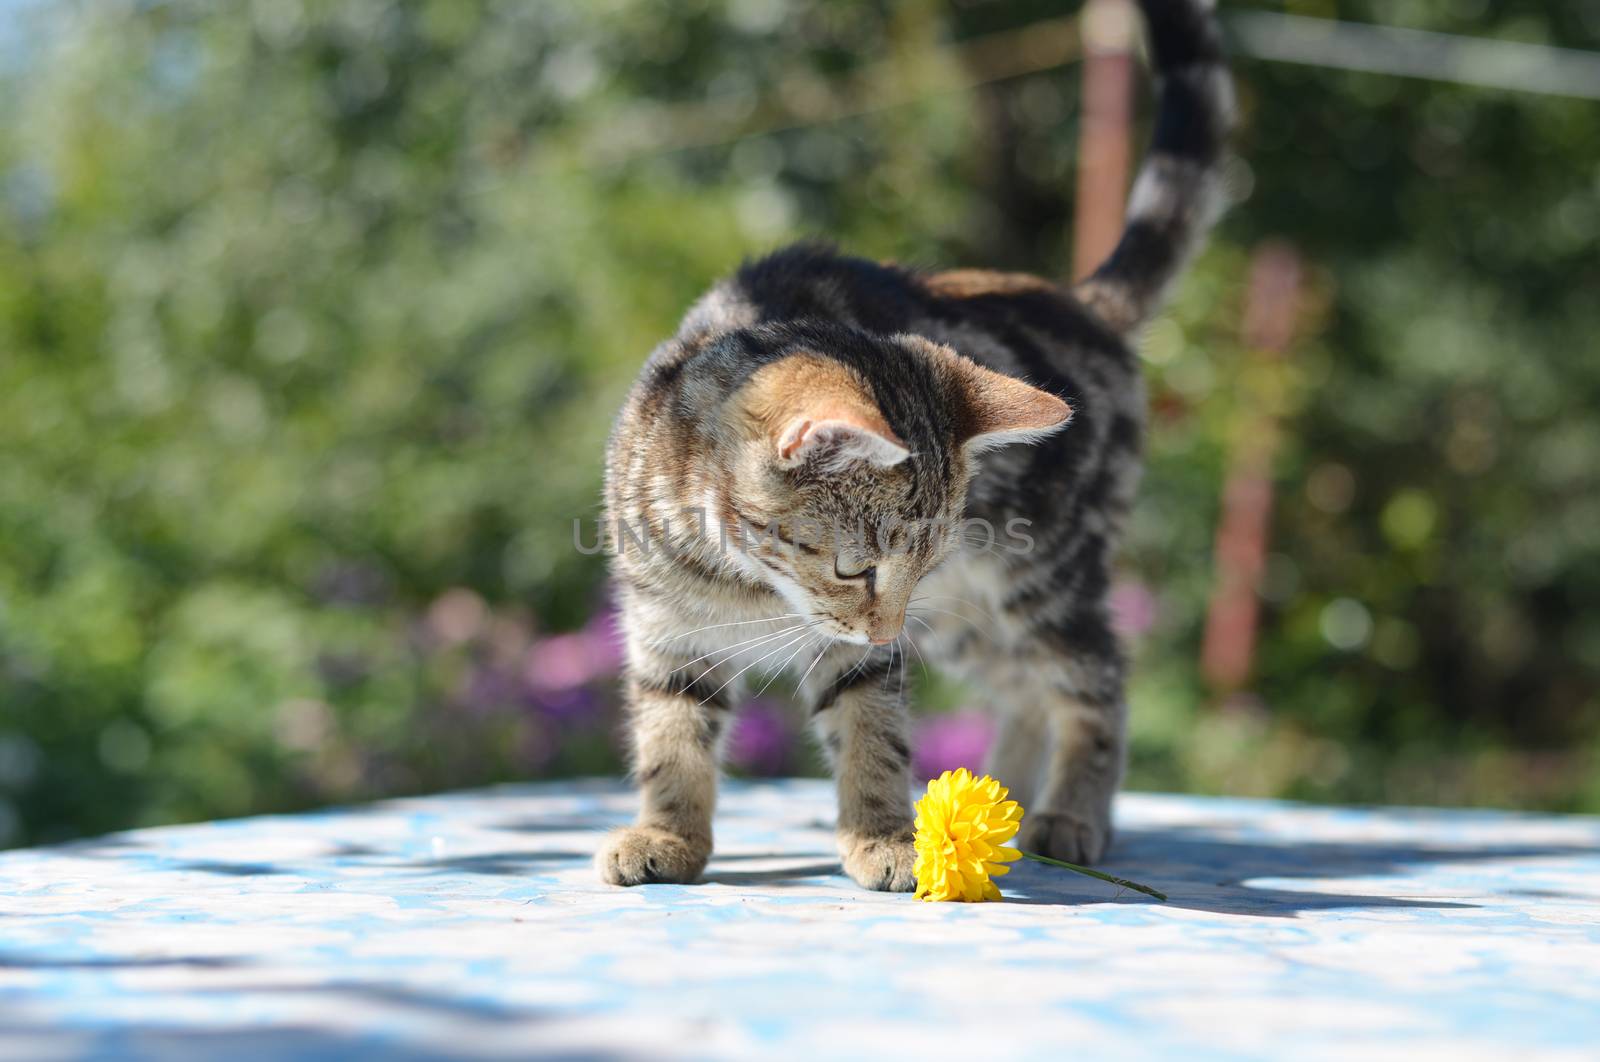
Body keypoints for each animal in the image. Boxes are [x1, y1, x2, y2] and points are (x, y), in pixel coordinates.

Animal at [595, 0, 1228, 889]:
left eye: (914, 564)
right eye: (853, 568)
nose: (889, 626)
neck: (739, 578)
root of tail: (1078, 304)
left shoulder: (863, 653)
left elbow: (873, 734)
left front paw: (886, 838)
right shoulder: (665, 631)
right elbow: (669, 739)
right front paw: (667, 835)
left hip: (1039, 579)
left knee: (1095, 675)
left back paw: (1072, 813)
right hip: (967, 619)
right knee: (1023, 689)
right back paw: (1008, 801)